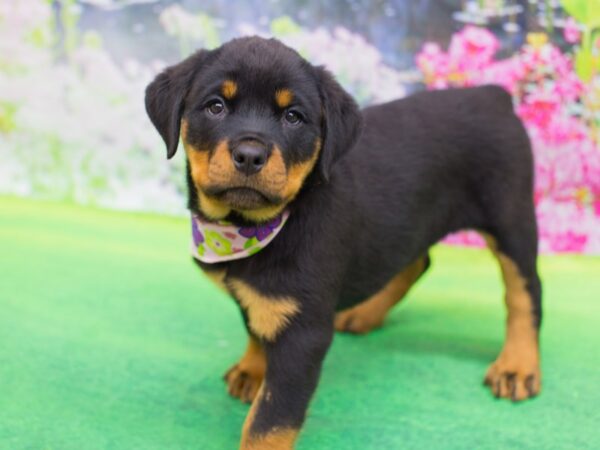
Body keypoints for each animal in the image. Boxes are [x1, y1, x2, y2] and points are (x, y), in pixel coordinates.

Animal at [146, 37, 544, 448]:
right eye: (216, 106)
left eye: (293, 117)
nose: (250, 156)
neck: (255, 229)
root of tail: (493, 95)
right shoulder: (258, 296)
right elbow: (257, 324)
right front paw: (253, 369)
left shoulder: (304, 334)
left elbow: (269, 422)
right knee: (416, 262)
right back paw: (365, 313)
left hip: (511, 218)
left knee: (524, 292)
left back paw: (517, 365)